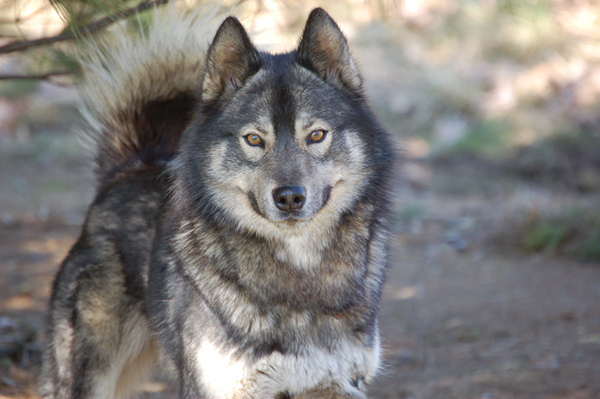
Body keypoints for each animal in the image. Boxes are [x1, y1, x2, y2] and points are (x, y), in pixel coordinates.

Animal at [37, 4, 394, 398]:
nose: (289, 197)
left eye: (316, 135)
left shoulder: (338, 384)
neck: (298, 278)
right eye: (253, 139)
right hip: (88, 377)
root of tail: (129, 169)